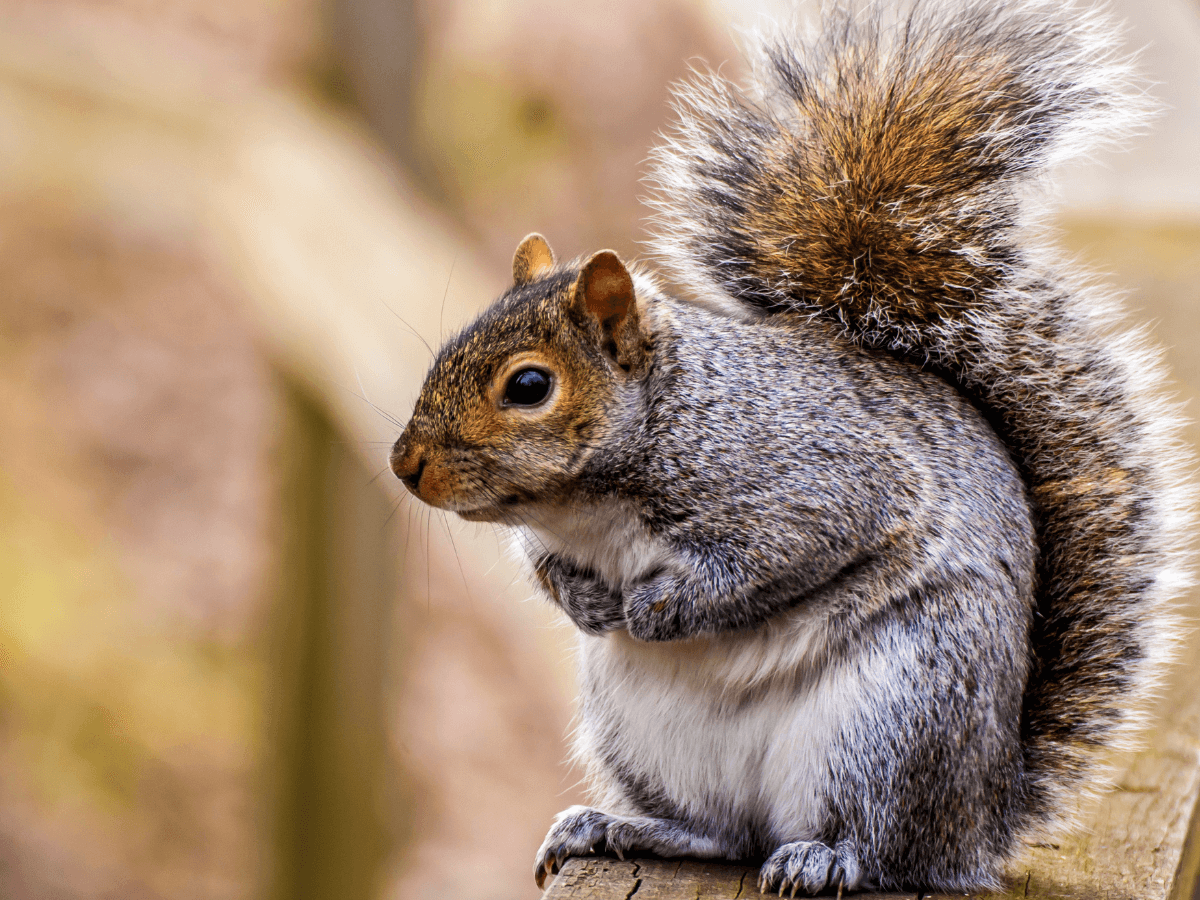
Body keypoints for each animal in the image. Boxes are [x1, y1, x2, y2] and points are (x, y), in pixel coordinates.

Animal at [389, 0, 1194, 893]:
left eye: (529, 386)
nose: (405, 465)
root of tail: (980, 824)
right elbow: (546, 568)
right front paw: (587, 602)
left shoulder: (812, 483)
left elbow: (772, 560)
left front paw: (658, 607)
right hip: (645, 733)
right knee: (720, 833)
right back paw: (617, 826)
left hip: (895, 716)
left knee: (881, 848)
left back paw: (822, 855)